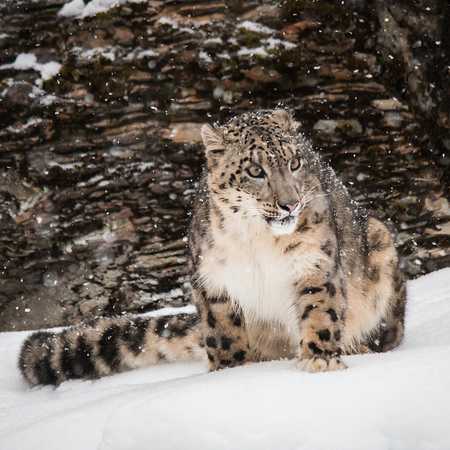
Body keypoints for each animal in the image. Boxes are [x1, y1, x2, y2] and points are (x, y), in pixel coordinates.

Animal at [17, 107, 406, 384]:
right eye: (255, 171)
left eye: (295, 163)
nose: (290, 204)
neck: (258, 241)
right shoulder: (212, 278)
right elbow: (223, 332)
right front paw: (230, 373)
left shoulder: (314, 264)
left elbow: (320, 311)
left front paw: (320, 360)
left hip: (380, 245)